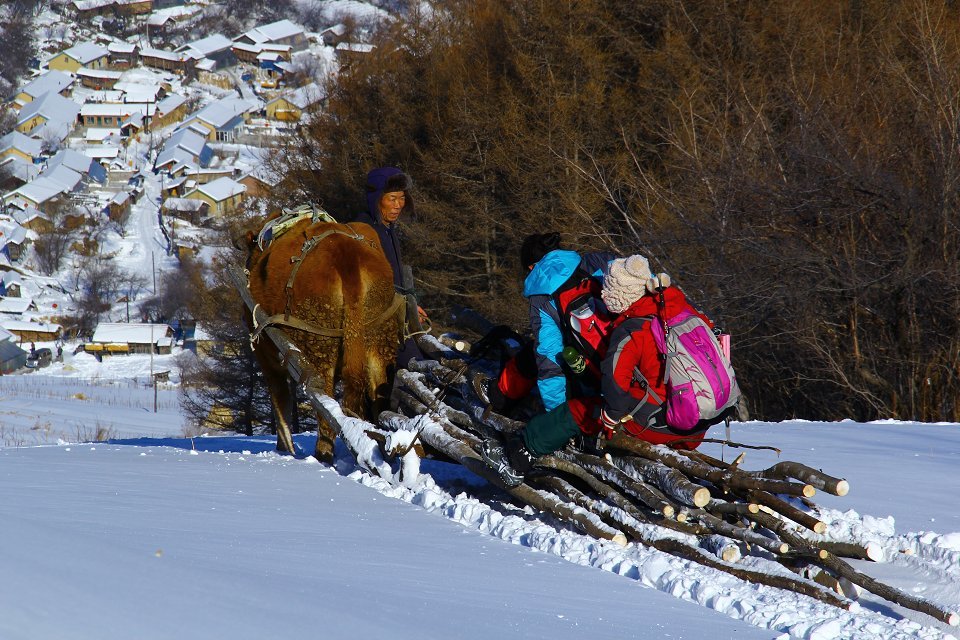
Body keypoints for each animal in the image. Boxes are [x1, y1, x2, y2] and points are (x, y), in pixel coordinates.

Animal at [246, 219, 404, 460]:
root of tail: (346, 256)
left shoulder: (266, 358)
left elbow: (280, 402)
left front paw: (284, 449)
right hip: (379, 336)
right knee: (379, 393)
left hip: (318, 343)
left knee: (324, 397)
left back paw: (323, 453)